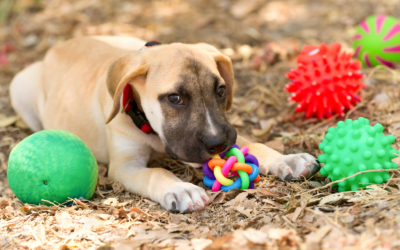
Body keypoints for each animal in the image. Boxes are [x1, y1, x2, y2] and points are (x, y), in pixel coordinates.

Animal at [10, 36, 320, 213]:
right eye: (174, 98)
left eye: (221, 90)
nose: (218, 143)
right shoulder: (125, 166)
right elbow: (156, 173)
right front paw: (181, 190)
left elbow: (255, 144)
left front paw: (287, 159)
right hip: (19, 86)